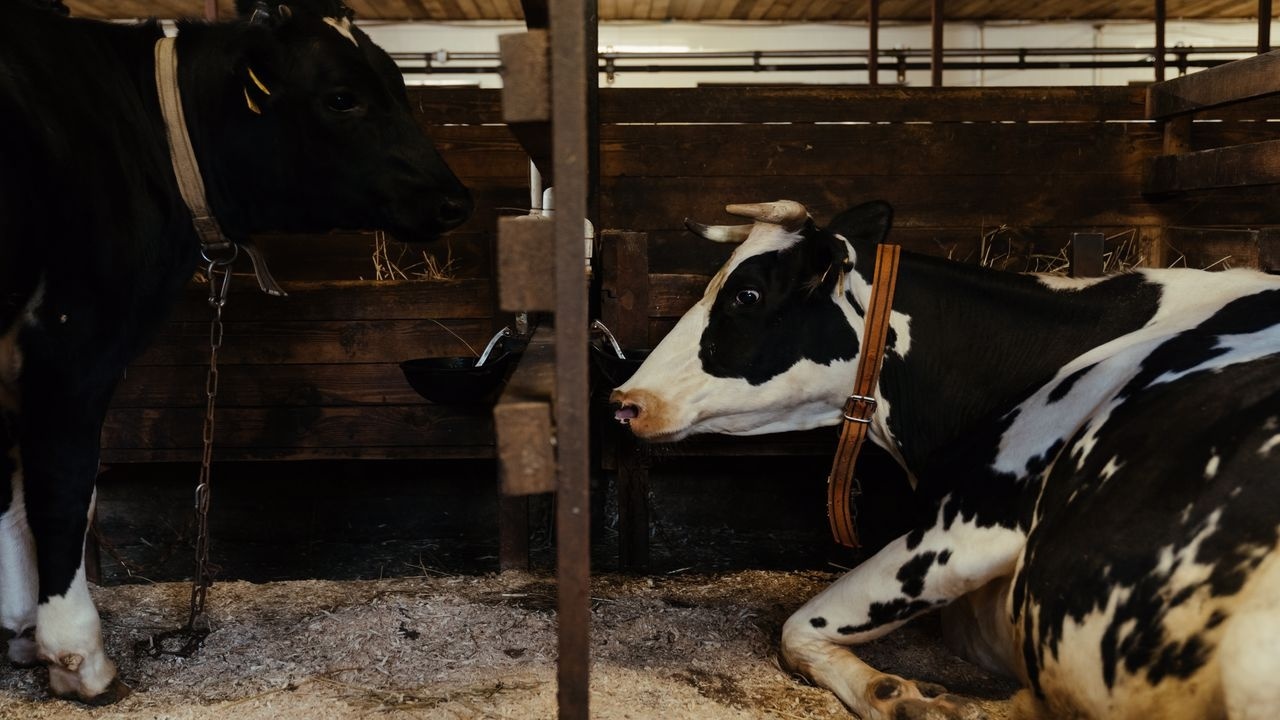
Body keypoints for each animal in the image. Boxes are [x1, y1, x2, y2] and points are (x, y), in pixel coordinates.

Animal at [0, 0, 471, 702]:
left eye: (400, 88)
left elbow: (11, 496)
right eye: (341, 97)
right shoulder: (74, 339)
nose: (454, 201)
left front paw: (21, 629)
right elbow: (63, 488)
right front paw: (76, 656)